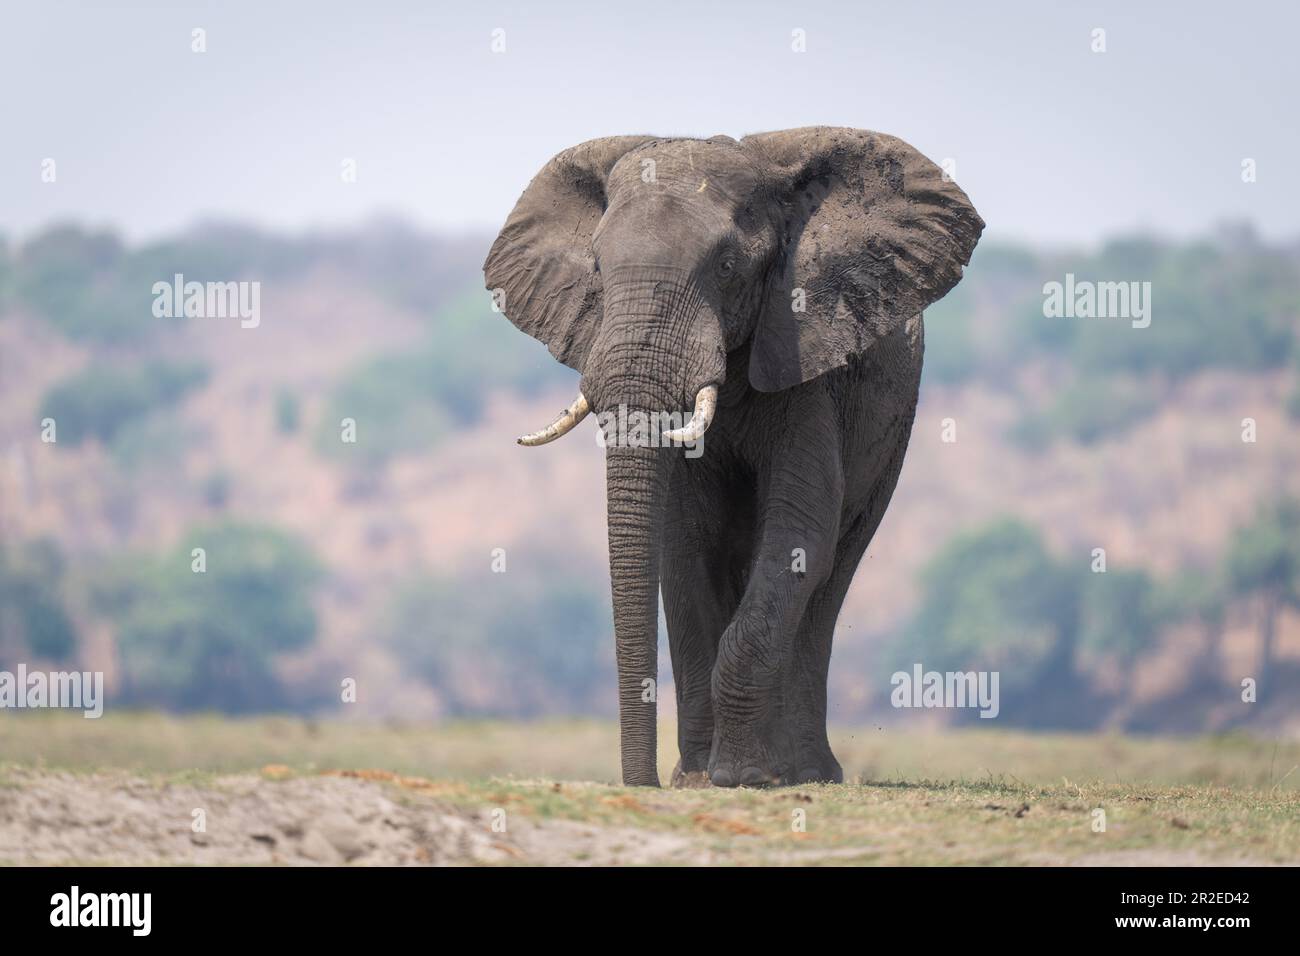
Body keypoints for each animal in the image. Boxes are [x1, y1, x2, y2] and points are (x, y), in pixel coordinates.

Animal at [484, 127, 983, 787]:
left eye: (727, 268)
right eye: (597, 267)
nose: (642, 783)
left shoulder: (805, 359)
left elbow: (799, 534)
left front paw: (742, 777)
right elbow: (687, 543)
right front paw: (698, 779)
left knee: (834, 571)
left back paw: (807, 773)